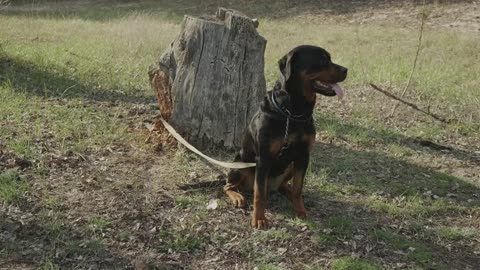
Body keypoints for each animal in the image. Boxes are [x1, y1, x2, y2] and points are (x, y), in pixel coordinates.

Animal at [223, 45, 346, 229]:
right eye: (322, 60)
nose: (346, 70)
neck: (293, 112)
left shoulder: (303, 156)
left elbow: (298, 188)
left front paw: (301, 210)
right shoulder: (264, 158)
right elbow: (259, 194)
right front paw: (259, 219)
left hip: (290, 166)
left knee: (285, 186)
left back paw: (287, 192)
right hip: (241, 165)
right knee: (228, 186)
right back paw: (238, 197)